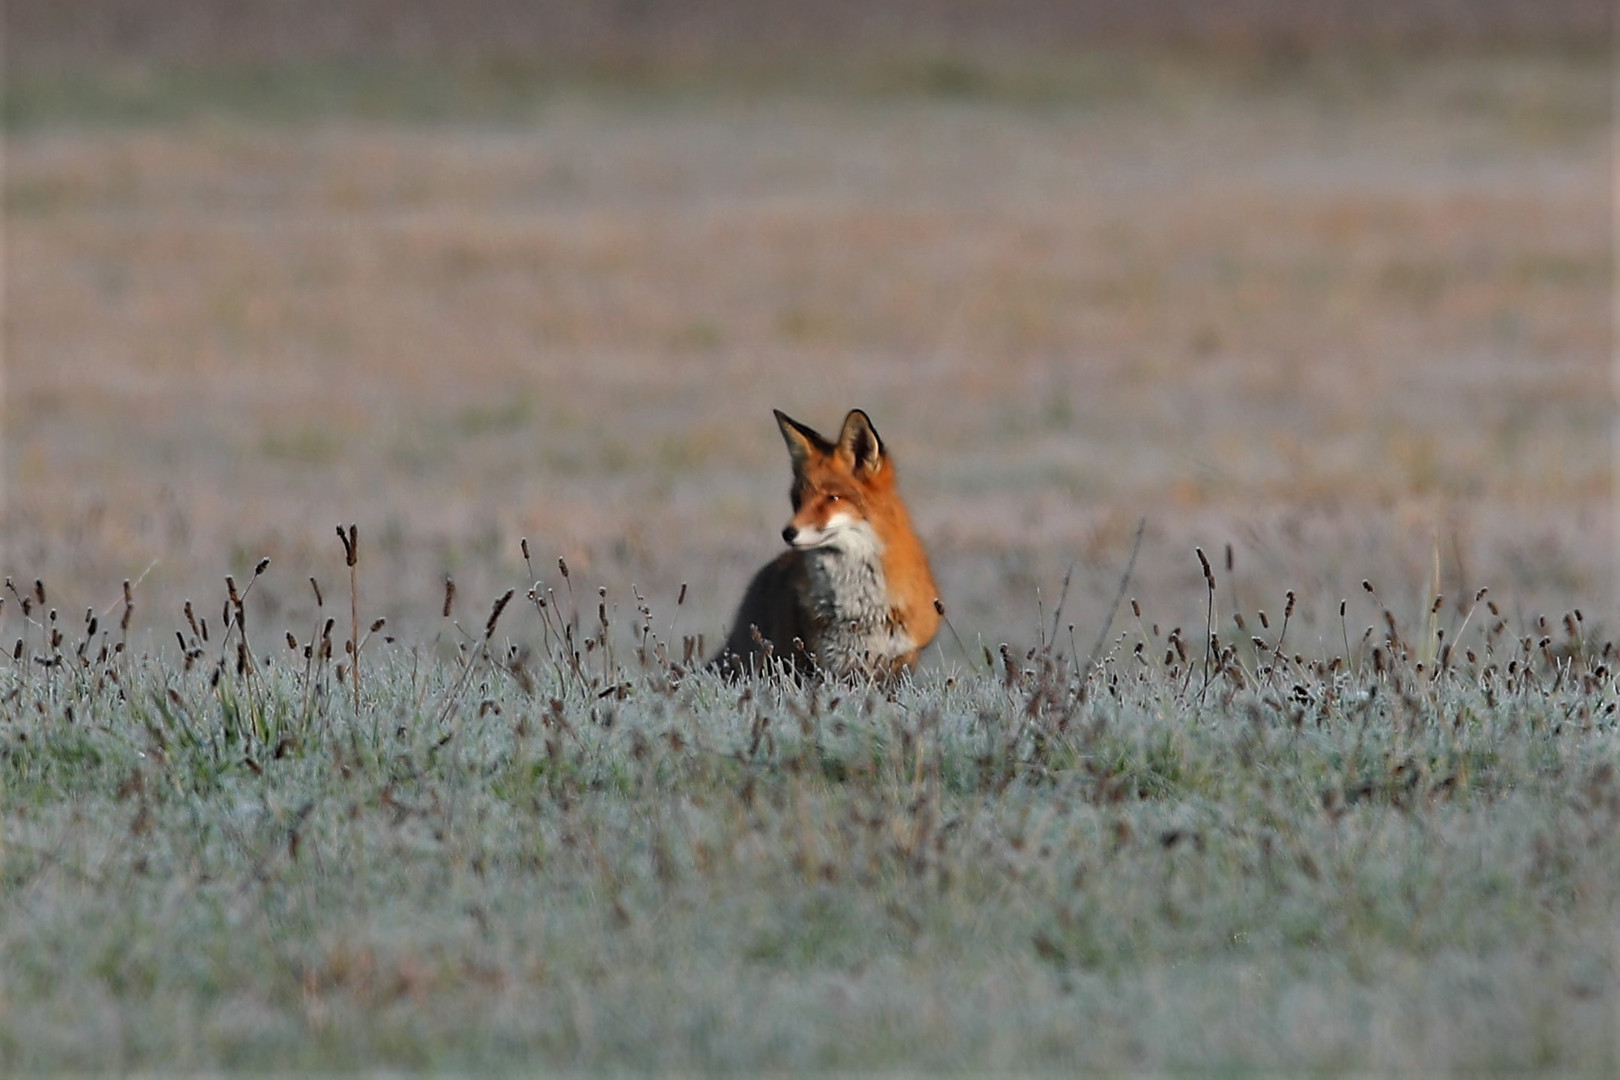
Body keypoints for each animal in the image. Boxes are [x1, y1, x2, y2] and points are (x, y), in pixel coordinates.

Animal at [716, 409, 946, 680]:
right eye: (797, 500)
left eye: (832, 498)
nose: (788, 533)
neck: (860, 608)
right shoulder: (828, 662)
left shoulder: (900, 659)